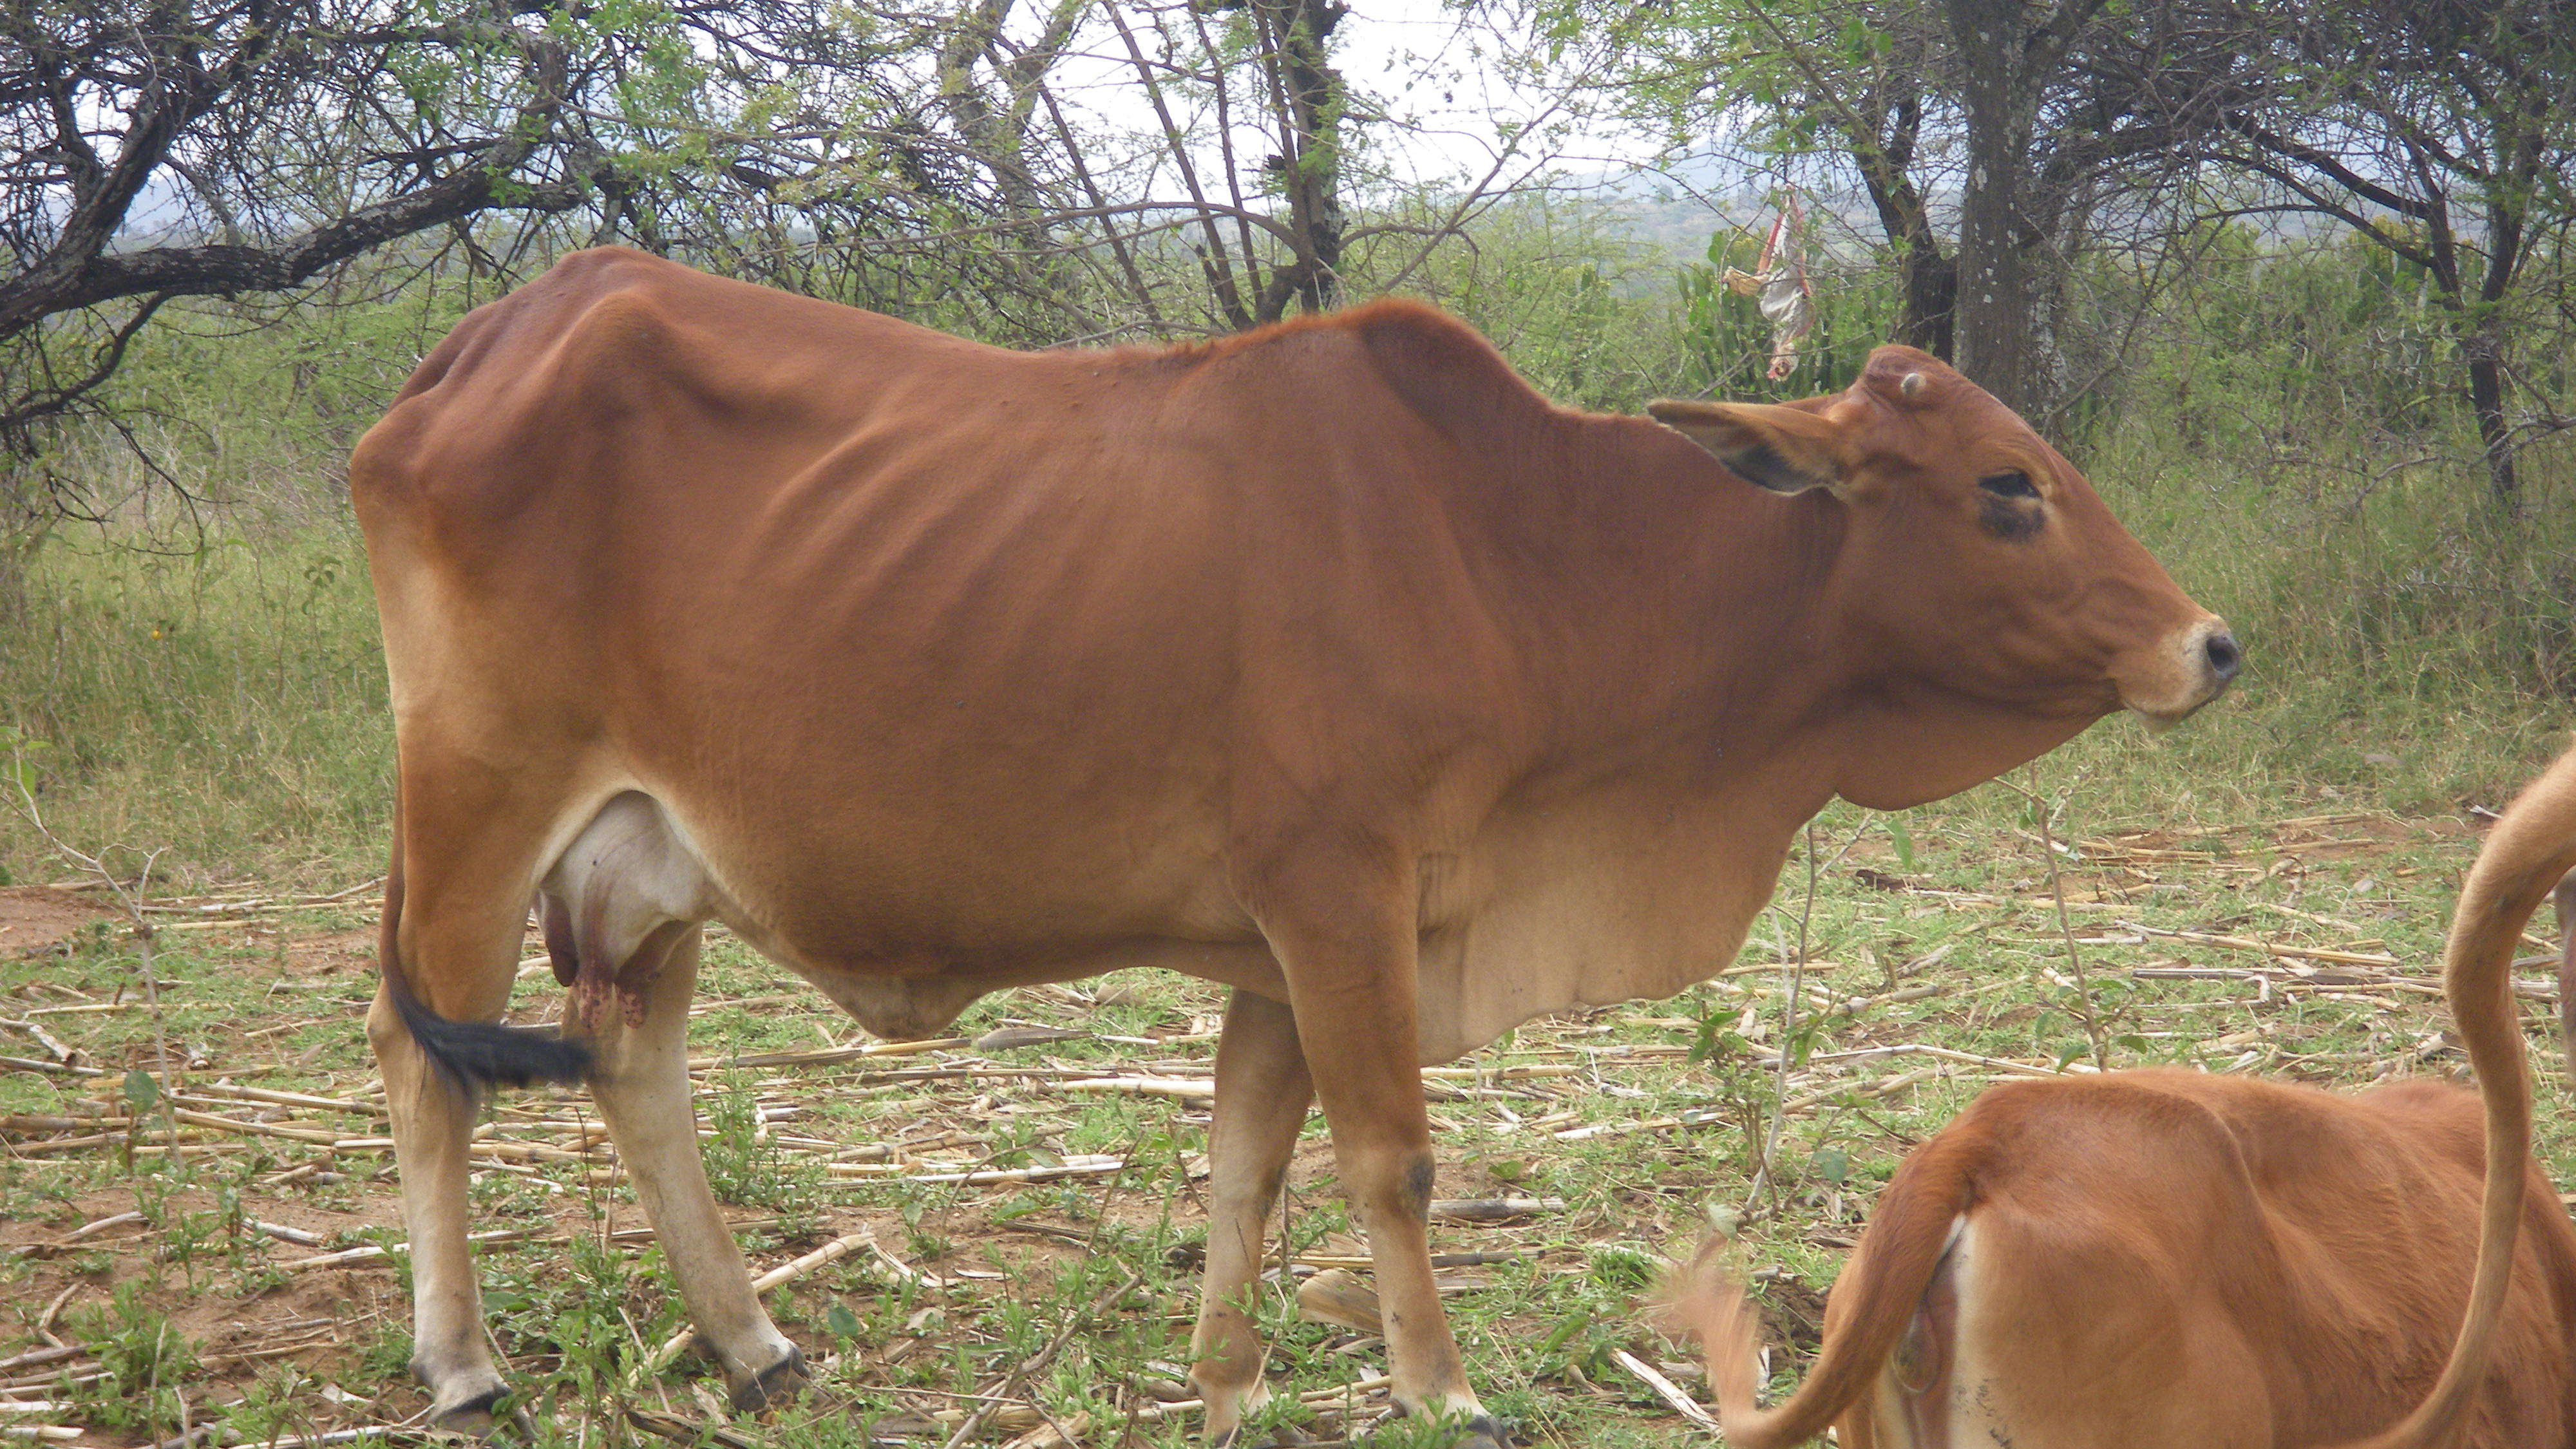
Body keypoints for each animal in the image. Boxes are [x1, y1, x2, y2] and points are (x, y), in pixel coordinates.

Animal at [349, 248, 2239, 1442]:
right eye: (2006, 487)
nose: (2208, 644)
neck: (1525, 553)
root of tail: (483, 342)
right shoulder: (1344, 895)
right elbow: (1388, 1155)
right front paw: (1440, 1387)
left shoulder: (1282, 936)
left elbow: (1248, 1158)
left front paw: (1229, 1377)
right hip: (479, 804)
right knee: (420, 1057)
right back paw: (464, 1363)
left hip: (651, 860)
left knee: (631, 1066)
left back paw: (753, 1341)